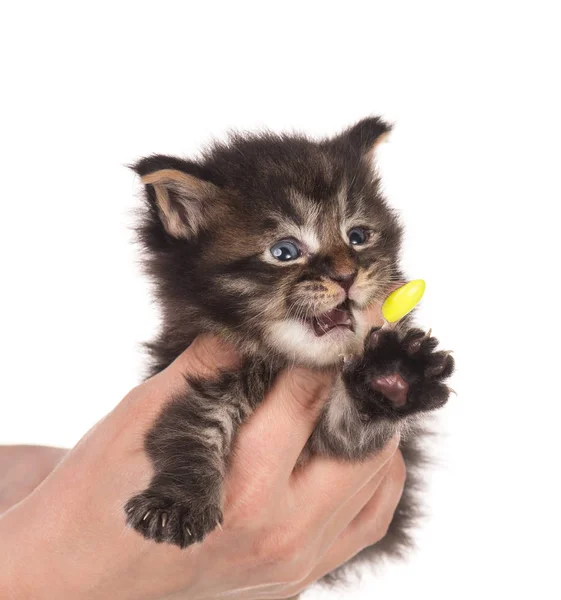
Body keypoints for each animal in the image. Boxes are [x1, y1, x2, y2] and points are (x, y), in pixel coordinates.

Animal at [124, 116, 452, 576]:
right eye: (284, 251)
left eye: (357, 236)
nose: (347, 276)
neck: (283, 360)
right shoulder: (186, 370)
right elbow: (186, 426)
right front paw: (178, 502)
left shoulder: (345, 440)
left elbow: (354, 430)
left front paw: (395, 375)